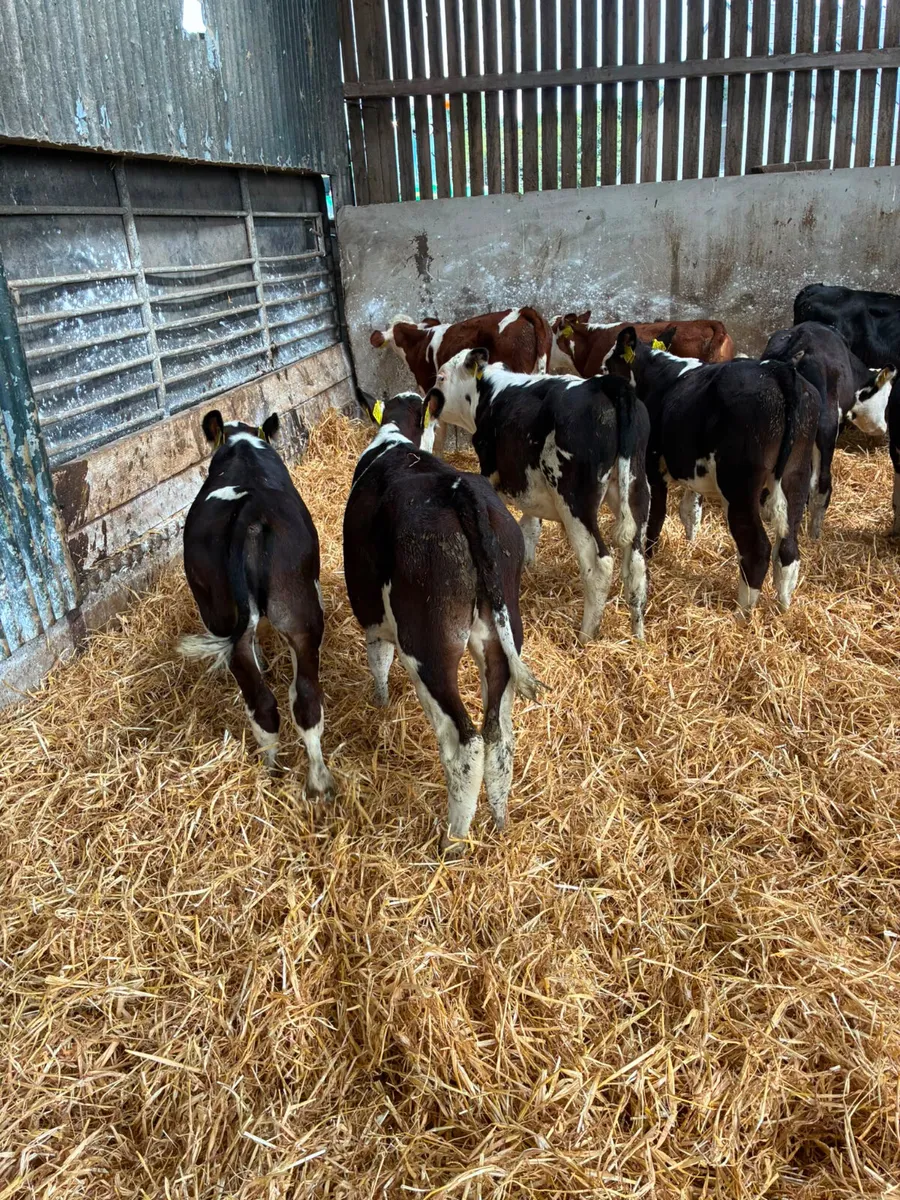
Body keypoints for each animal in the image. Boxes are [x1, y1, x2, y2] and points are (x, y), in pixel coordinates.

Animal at [179, 410, 334, 801]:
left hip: (220, 611)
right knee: (302, 700)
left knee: (265, 698)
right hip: (301, 613)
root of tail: (251, 511)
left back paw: (274, 771)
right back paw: (313, 782)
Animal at [343, 389, 542, 858]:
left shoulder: (372, 611)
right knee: (499, 737)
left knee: (465, 742)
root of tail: (460, 493)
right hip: (502, 634)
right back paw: (500, 823)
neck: (395, 439)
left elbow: (377, 657)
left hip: (428, 648)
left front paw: (379, 704)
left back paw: (453, 842)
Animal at [424, 350, 651, 640]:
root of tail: (606, 385)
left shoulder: (491, 474)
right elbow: (529, 526)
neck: (490, 392)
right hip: (636, 489)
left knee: (599, 564)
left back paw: (586, 636)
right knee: (636, 565)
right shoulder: (528, 484)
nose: (431, 400)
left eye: (441, 377)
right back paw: (638, 635)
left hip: (574, 500)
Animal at [604, 326, 819, 616]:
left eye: (607, 366)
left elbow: (655, 517)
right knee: (788, 546)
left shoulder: (652, 468)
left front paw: (649, 557)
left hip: (738, 486)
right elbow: (690, 510)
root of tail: (779, 371)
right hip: (795, 474)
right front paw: (690, 542)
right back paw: (783, 607)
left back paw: (743, 614)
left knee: (757, 548)